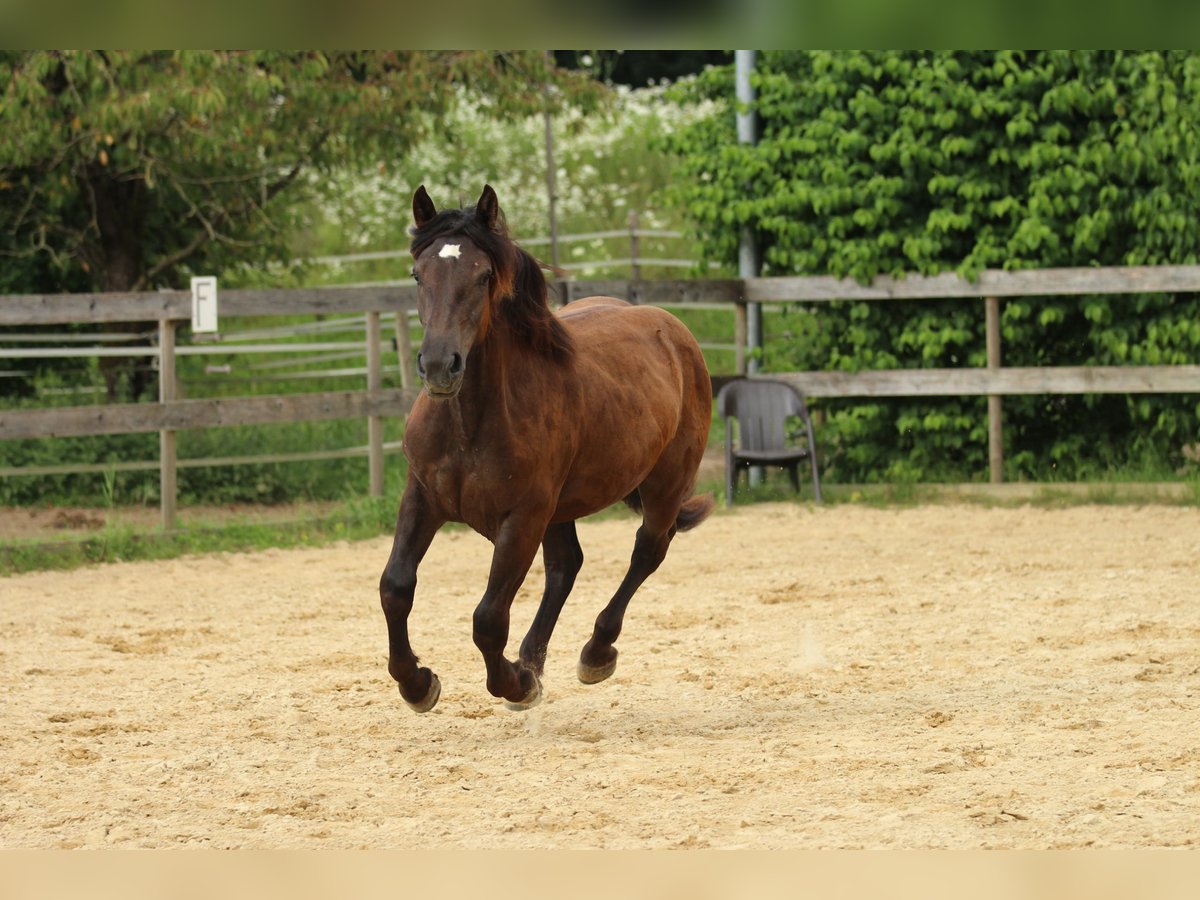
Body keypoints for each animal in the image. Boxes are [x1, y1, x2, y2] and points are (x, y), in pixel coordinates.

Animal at [379, 187, 710, 715]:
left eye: (484, 275)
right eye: (417, 274)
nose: (439, 366)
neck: (471, 423)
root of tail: (672, 329)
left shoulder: (523, 518)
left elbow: (488, 617)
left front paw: (514, 684)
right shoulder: (423, 499)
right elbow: (396, 588)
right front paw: (417, 683)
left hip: (663, 484)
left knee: (647, 551)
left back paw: (595, 653)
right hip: (562, 508)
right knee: (566, 566)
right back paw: (532, 658)